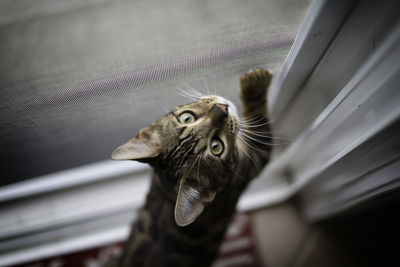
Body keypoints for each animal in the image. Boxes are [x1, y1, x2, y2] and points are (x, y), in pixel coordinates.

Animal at [108, 69, 274, 267]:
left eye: (186, 117)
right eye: (216, 147)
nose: (222, 109)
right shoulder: (252, 162)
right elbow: (260, 125)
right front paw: (255, 84)